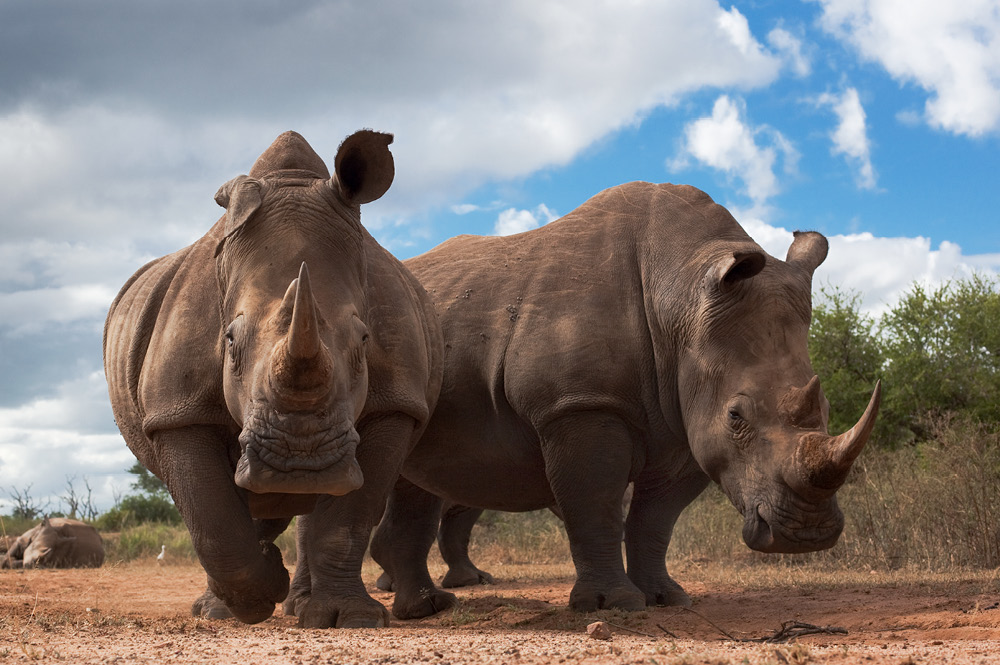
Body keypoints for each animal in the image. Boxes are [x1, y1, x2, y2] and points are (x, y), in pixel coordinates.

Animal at [104, 131, 442, 628]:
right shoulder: (176, 411)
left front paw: (348, 618)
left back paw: (298, 603)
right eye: (228, 341)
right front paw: (258, 596)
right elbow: (212, 520)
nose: (300, 463)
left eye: (364, 340)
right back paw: (221, 610)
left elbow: (349, 519)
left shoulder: (396, 403)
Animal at [372, 182, 880, 616]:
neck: (680, 297)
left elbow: (655, 521)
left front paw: (666, 598)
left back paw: (426, 607)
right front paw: (612, 605)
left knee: (419, 482)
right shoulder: (578, 403)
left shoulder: (685, 423)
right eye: (736, 416)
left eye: (828, 410)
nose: (806, 535)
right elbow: (595, 505)